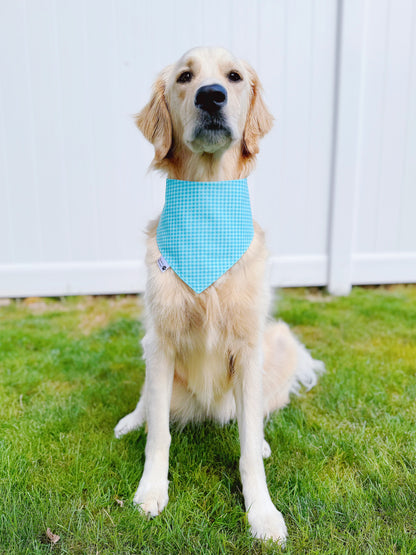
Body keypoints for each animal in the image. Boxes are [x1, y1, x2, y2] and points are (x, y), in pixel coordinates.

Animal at [115, 45, 324, 544]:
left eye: (234, 77)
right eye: (185, 77)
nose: (211, 96)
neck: (207, 205)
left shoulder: (248, 347)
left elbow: (246, 449)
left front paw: (262, 512)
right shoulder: (162, 341)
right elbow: (159, 435)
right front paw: (150, 491)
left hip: (274, 346)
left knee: (255, 416)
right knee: (148, 404)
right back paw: (131, 420)